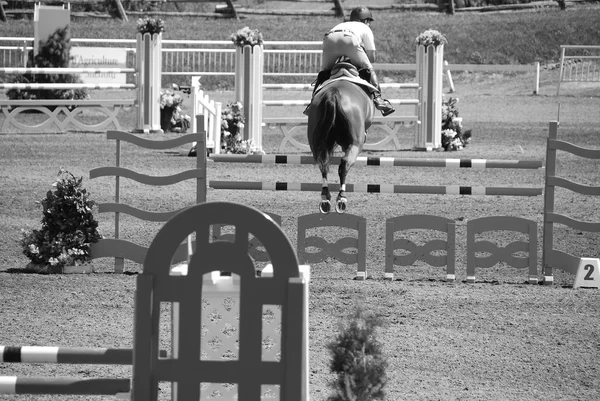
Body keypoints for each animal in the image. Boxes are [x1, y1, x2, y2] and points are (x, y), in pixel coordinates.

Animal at [308, 63, 372, 212]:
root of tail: (334, 93)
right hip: (356, 143)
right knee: (344, 164)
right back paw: (341, 198)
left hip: (315, 140)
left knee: (323, 163)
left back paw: (325, 198)